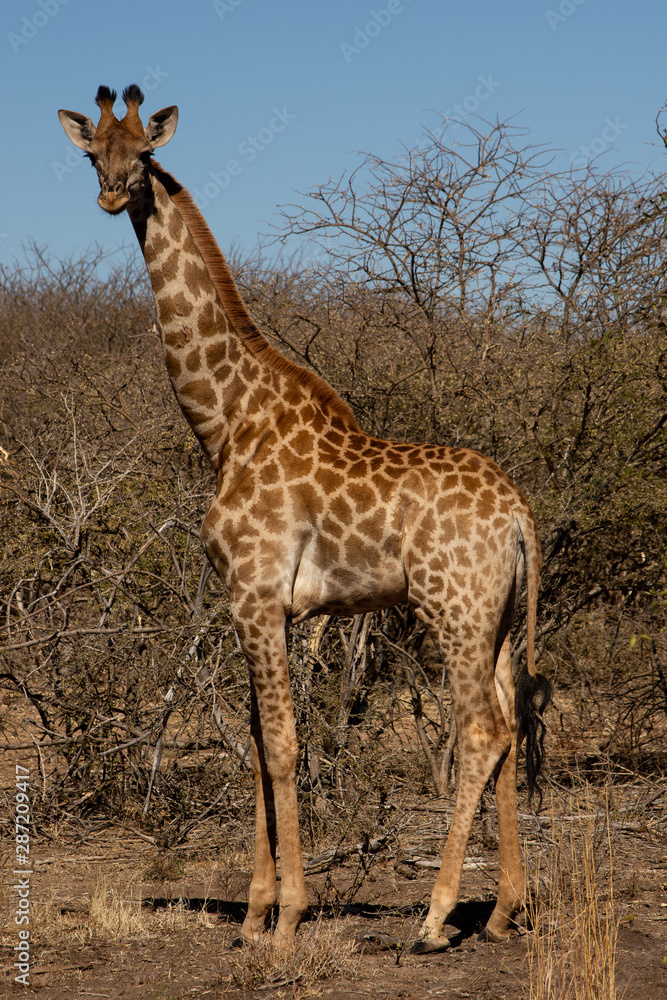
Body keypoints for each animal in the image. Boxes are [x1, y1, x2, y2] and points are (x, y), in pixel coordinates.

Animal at [58, 86, 552, 952]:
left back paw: (433, 918)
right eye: (92, 155)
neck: (225, 421)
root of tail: (520, 514)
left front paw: (286, 917)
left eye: (144, 156)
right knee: (512, 716)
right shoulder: (263, 609)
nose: (114, 195)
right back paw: (499, 911)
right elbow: (258, 742)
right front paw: (255, 912)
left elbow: (284, 746)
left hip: (451, 608)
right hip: (495, 617)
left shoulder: (255, 596)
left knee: (481, 731)